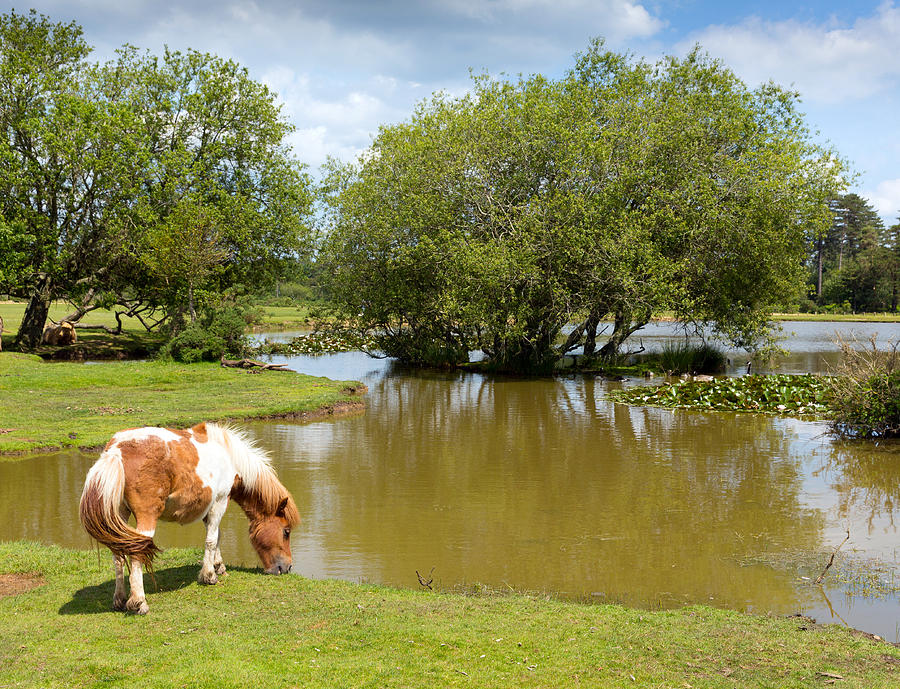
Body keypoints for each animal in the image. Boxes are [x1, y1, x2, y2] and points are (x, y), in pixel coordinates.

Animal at [81, 422, 298, 616]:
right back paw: (139, 602)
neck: (230, 457)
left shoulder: (207, 508)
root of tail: (116, 450)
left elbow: (217, 536)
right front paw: (209, 576)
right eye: (286, 532)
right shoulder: (220, 501)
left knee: (118, 554)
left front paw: (218, 566)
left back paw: (119, 599)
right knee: (136, 554)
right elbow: (211, 540)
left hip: (118, 517)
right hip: (145, 518)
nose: (287, 567)